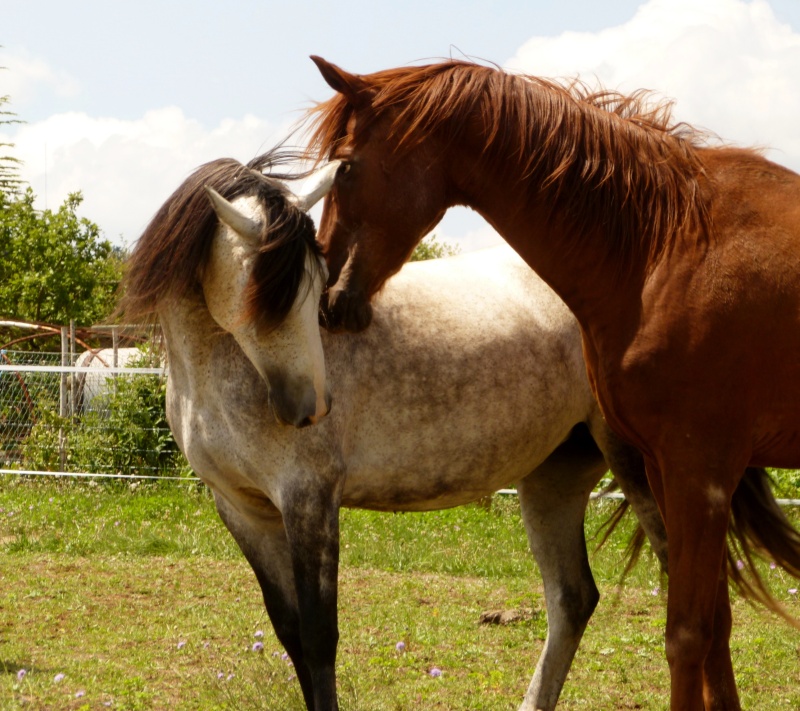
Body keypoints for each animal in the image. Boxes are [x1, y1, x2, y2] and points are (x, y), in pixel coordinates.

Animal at [304, 57, 800, 711]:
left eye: (346, 167)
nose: (330, 299)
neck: (666, 244)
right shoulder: (670, 467)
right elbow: (715, 626)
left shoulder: (701, 469)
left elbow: (688, 633)